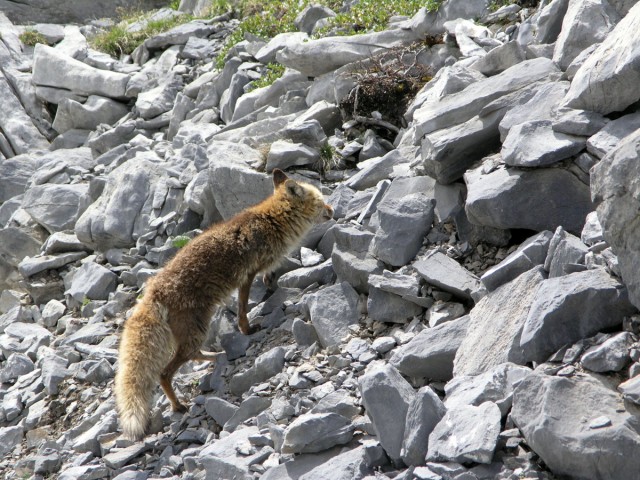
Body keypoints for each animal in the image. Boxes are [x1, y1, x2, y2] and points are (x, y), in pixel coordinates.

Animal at [115, 168, 336, 438]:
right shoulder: (247, 276)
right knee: (165, 372)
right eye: (319, 201)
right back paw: (178, 405)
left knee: (193, 356)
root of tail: (153, 292)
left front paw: (271, 285)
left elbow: (268, 277)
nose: (332, 209)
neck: (271, 221)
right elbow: (242, 308)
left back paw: (218, 356)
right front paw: (247, 329)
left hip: (195, 332)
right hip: (196, 330)